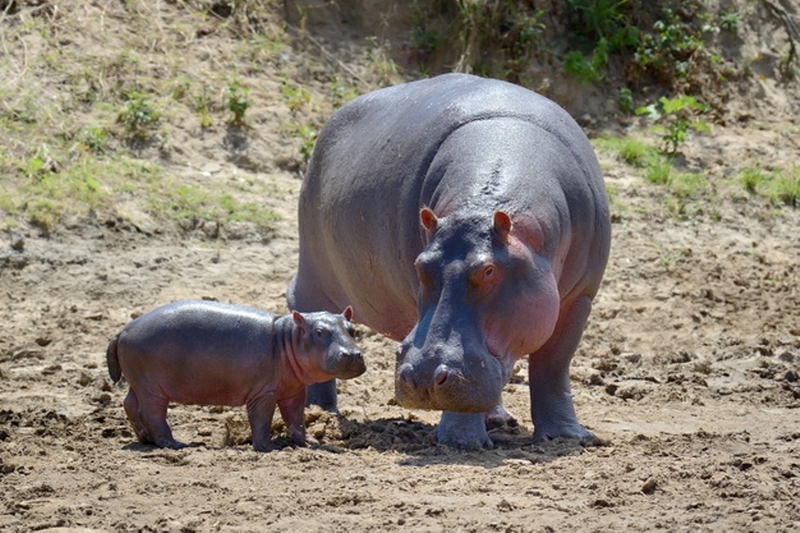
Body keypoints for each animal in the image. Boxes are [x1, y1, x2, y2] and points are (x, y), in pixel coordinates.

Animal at [107, 300, 366, 448]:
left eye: (352, 329)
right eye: (320, 332)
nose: (353, 354)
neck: (287, 338)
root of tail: (122, 331)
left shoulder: (294, 391)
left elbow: (296, 418)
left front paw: (309, 441)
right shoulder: (264, 393)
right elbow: (262, 419)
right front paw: (267, 447)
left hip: (138, 382)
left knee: (130, 404)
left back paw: (145, 439)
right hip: (152, 388)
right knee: (152, 413)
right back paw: (174, 444)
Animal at [290, 72, 608, 448]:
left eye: (489, 270)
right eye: (420, 265)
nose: (424, 377)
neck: (480, 207)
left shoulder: (579, 299)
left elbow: (553, 366)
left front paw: (569, 437)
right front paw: (461, 442)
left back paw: (498, 419)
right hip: (313, 270)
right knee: (309, 310)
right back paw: (321, 412)